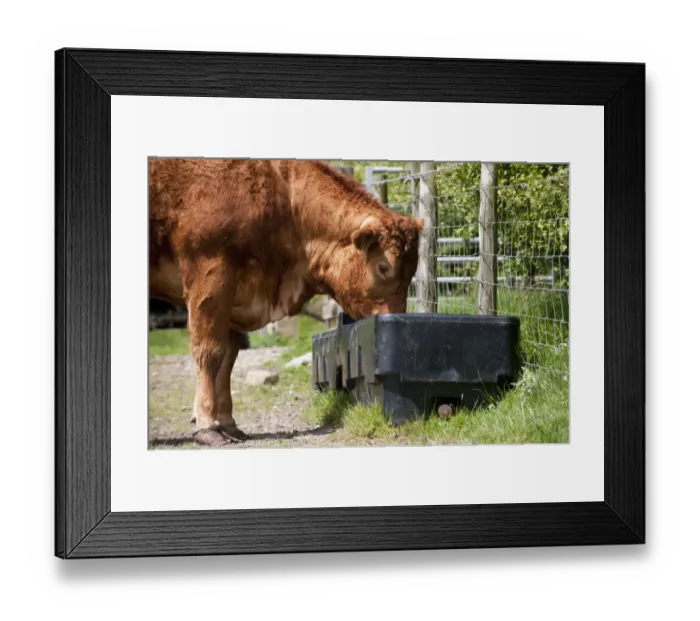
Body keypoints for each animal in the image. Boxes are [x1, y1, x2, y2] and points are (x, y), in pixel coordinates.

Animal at [149, 159, 424, 446]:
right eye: (383, 267)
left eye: (412, 271)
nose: (396, 315)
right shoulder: (210, 276)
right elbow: (209, 352)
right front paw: (207, 424)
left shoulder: (236, 295)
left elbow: (228, 357)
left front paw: (227, 423)